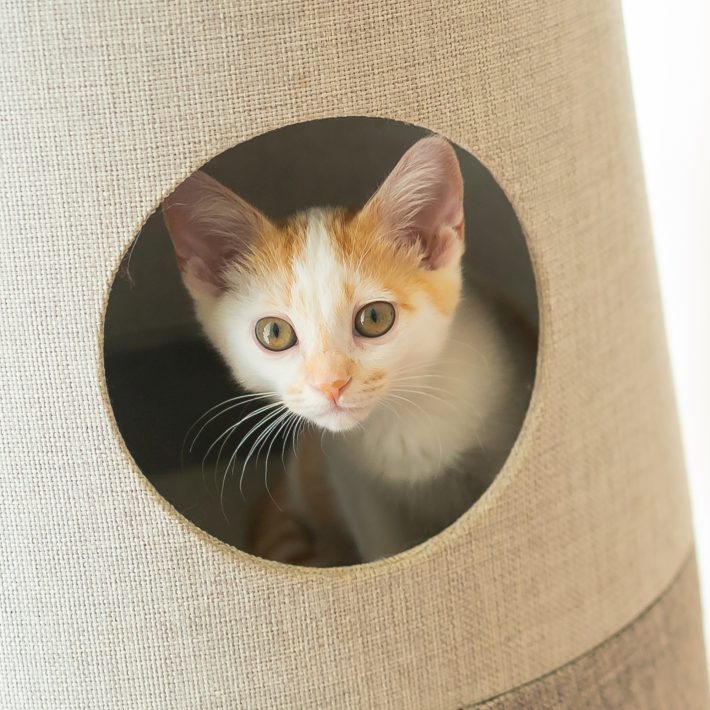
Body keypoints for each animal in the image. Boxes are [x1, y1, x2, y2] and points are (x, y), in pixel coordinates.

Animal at [162, 136, 534, 565]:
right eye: (274, 333)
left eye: (374, 317)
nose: (332, 385)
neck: (402, 421)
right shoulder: (356, 485)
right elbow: (383, 546)